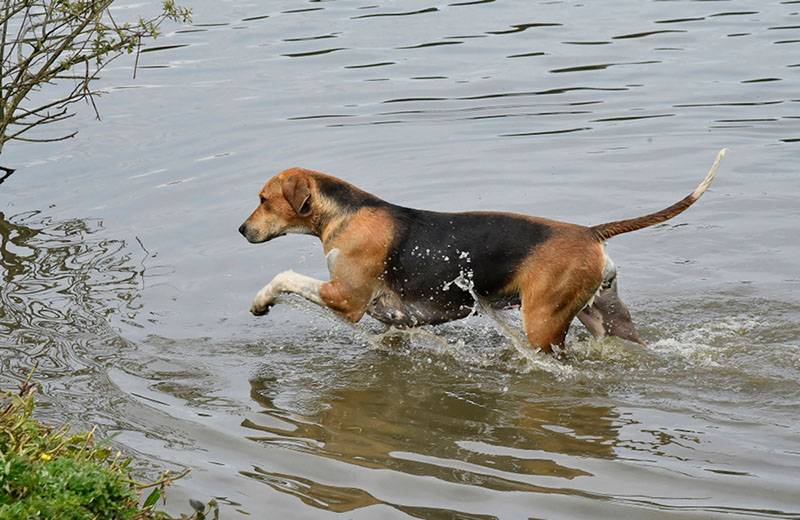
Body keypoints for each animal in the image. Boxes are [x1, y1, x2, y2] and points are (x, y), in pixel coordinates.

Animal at [238, 149, 724, 354]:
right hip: (609, 318)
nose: (242, 230)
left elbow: (284, 276)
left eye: (263, 200)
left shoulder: (346, 298)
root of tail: (590, 233)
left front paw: (261, 301)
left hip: (542, 326)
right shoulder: (394, 318)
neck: (346, 212)